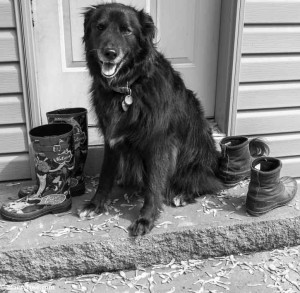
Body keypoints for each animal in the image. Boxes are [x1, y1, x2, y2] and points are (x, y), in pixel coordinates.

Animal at [79, 2, 225, 235]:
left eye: (126, 30)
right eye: (99, 27)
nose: (109, 53)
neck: (129, 86)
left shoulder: (159, 142)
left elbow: (154, 184)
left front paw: (146, 218)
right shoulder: (111, 138)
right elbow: (105, 175)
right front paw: (95, 204)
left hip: (193, 155)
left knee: (207, 183)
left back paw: (183, 194)